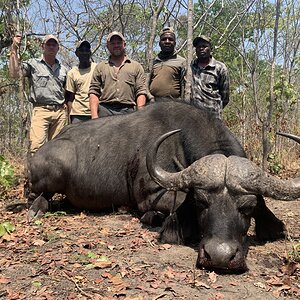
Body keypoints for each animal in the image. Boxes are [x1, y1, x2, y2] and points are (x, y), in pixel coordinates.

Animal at [27, 101, 298, 272]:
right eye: (200, 203)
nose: (220, 257)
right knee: (40, 195)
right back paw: (37, 207)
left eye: (247, 207)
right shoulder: (150, 196)